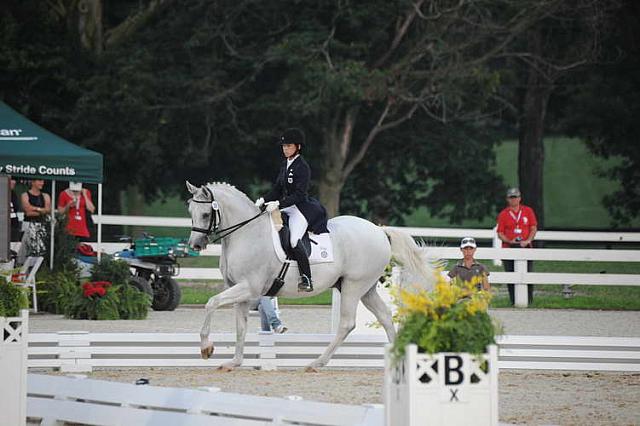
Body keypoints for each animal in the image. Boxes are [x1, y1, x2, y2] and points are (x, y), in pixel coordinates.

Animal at [185, 181, 436, 372]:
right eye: (191, 214)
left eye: (206, 214)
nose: (195, 245)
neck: (246, 233)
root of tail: (379, 230)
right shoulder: (241, 291)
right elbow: (240, 327)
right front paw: (234, 362)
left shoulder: (249, 288)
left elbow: (211, 302)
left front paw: (206, 348)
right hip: (366, 289)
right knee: (385, 317)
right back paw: (397, 360)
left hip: (354, 286)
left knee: (347, 323)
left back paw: (316, 363)